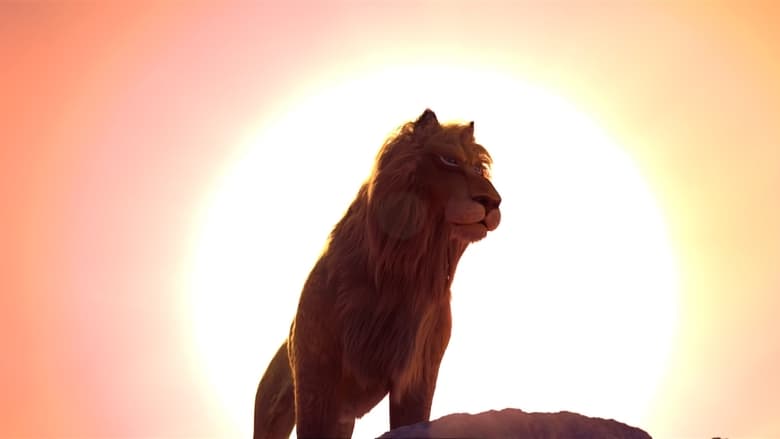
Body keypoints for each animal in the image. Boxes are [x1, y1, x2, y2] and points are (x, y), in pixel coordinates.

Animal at [253, 109, 501, 439]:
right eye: (449, 160)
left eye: (478, 168)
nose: (494, 202)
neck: (405, 273)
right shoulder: (316, 378)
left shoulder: (418, 373)